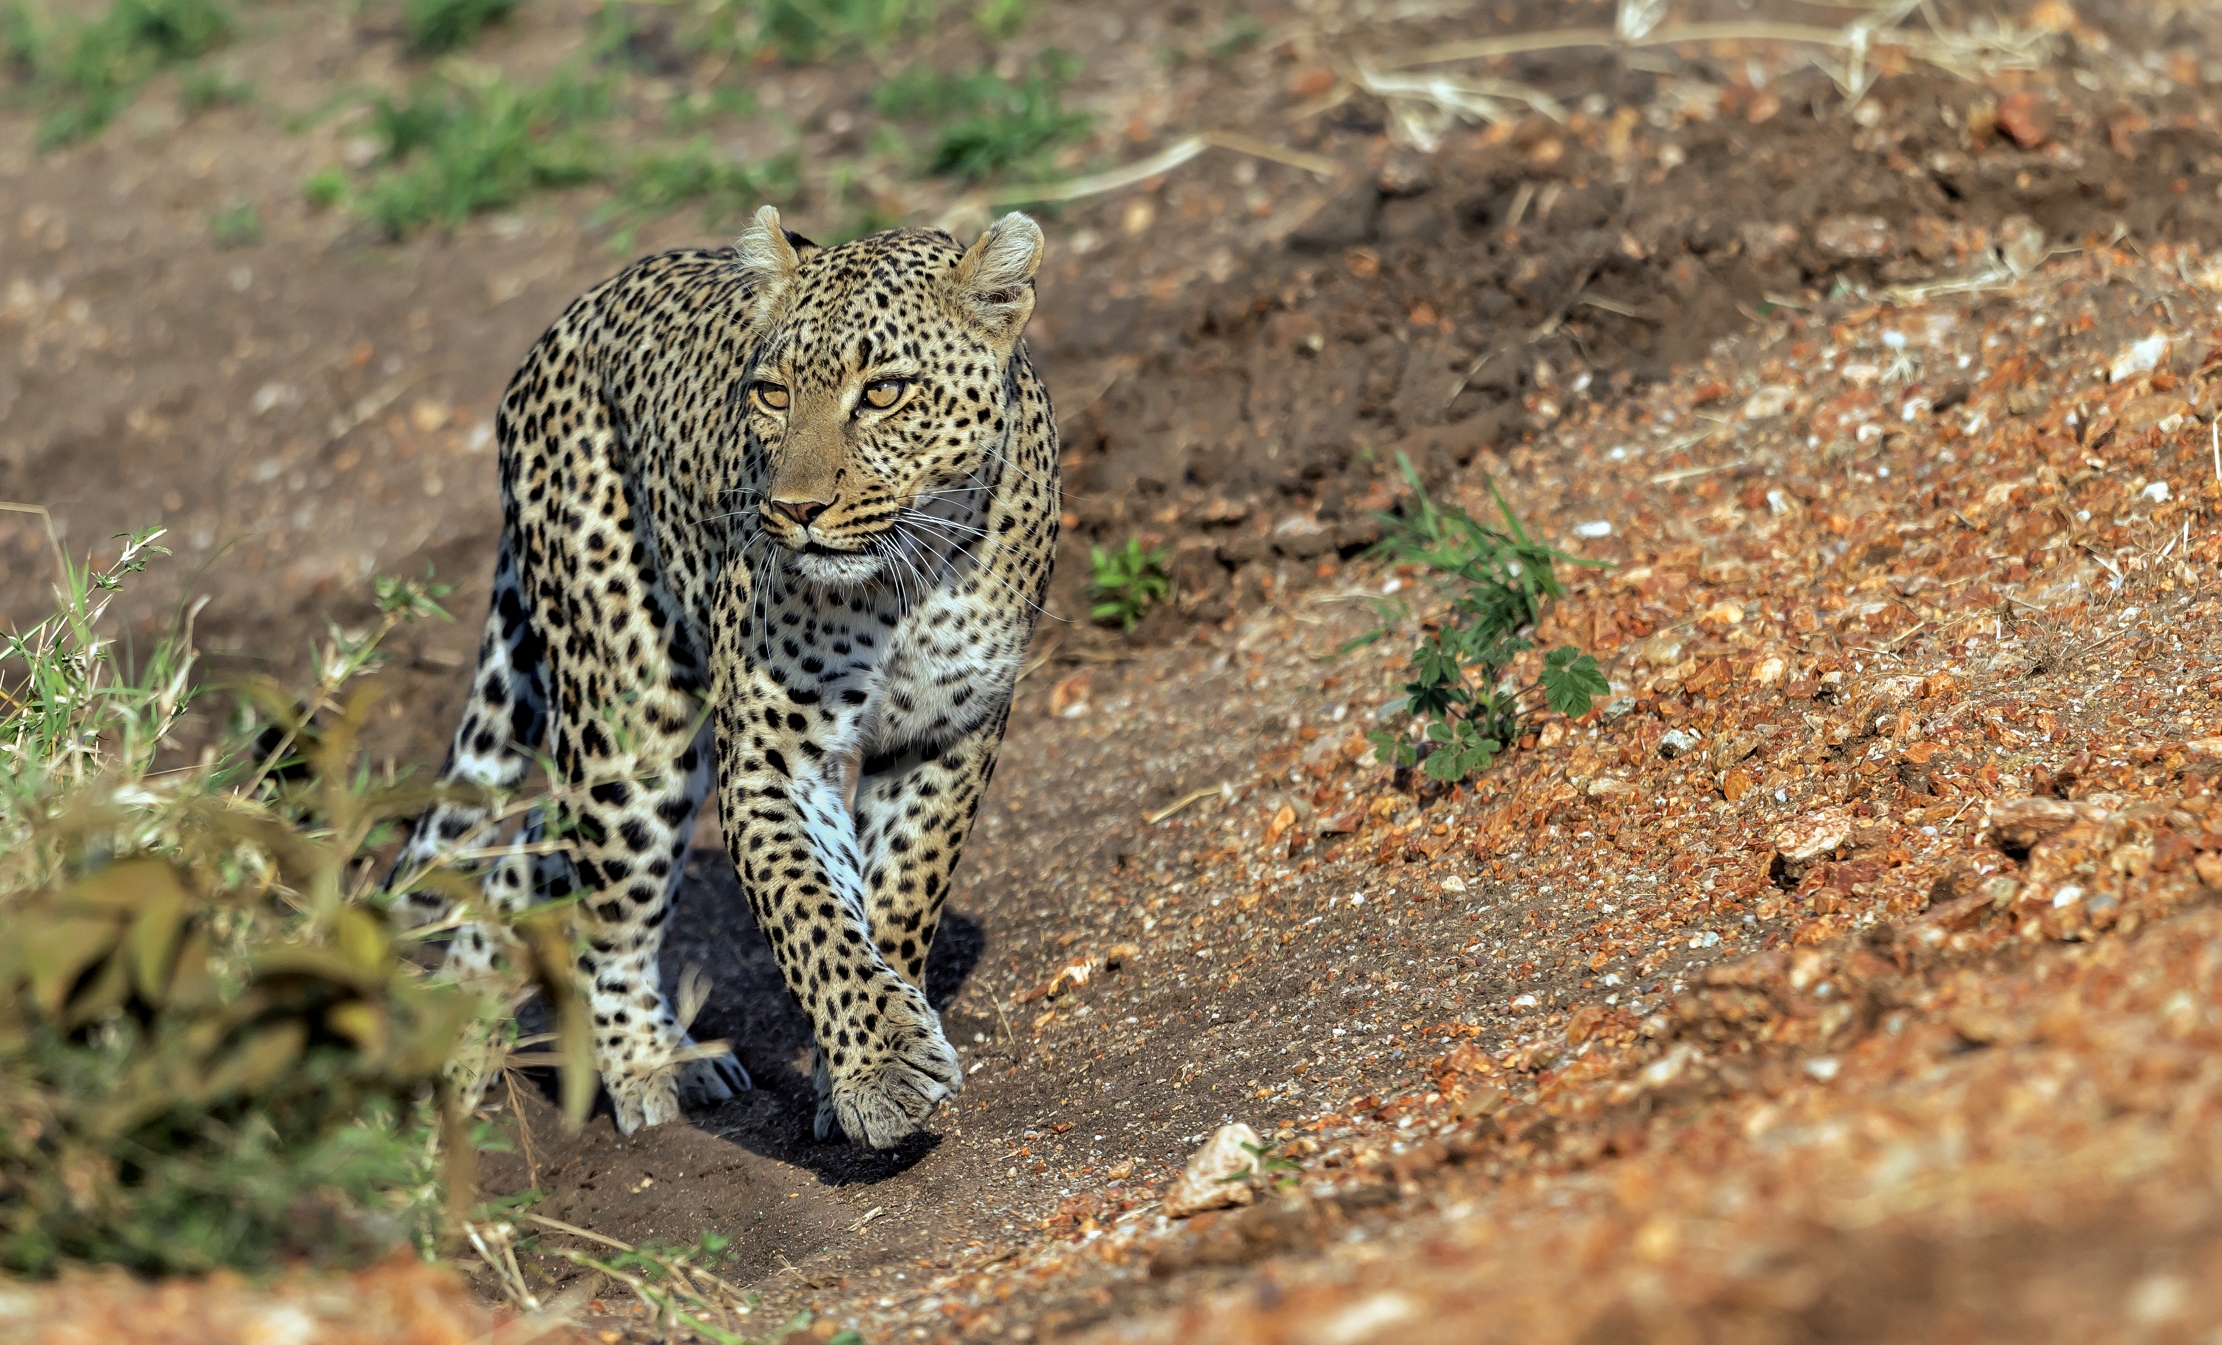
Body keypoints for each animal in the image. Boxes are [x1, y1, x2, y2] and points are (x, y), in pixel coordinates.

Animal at [389, 207, 1058, 1148]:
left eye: (884, 392)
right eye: (772, 393)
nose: (796, 511)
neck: (908, 579)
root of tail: (559, 328)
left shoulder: (947, 735)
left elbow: (899, 894)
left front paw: (855, 1064)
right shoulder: (775, 762)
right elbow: (812, 914)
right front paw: (882, 1068)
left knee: (528, 853)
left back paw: (469, 1028)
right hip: (630, 726)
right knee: (610, 915)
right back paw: (651, 1065)